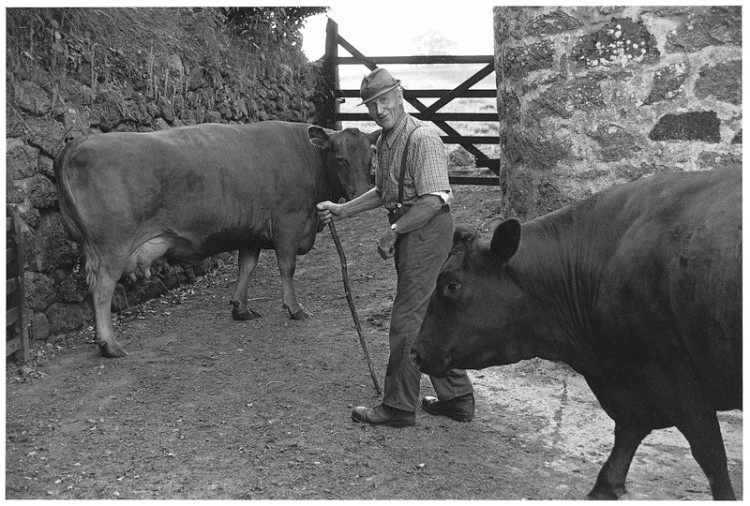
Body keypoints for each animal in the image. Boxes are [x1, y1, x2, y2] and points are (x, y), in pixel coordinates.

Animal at [55, 121, 379, 358]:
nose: (362, 193)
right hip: (112, 245)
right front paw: (294, 308)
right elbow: (287, 268)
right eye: (340, 159)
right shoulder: (289, 223)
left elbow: (246, 267)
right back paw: (109, 344)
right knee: (103, 287)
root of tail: (80, 141)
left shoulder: (251, 231)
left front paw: (241, 308)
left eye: (370, 158)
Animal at [412, 169, 741, 500]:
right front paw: (605, 486)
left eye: (451, 285)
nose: (415, 352)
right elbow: (630, 429)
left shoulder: (676, 379)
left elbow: (711, 457)